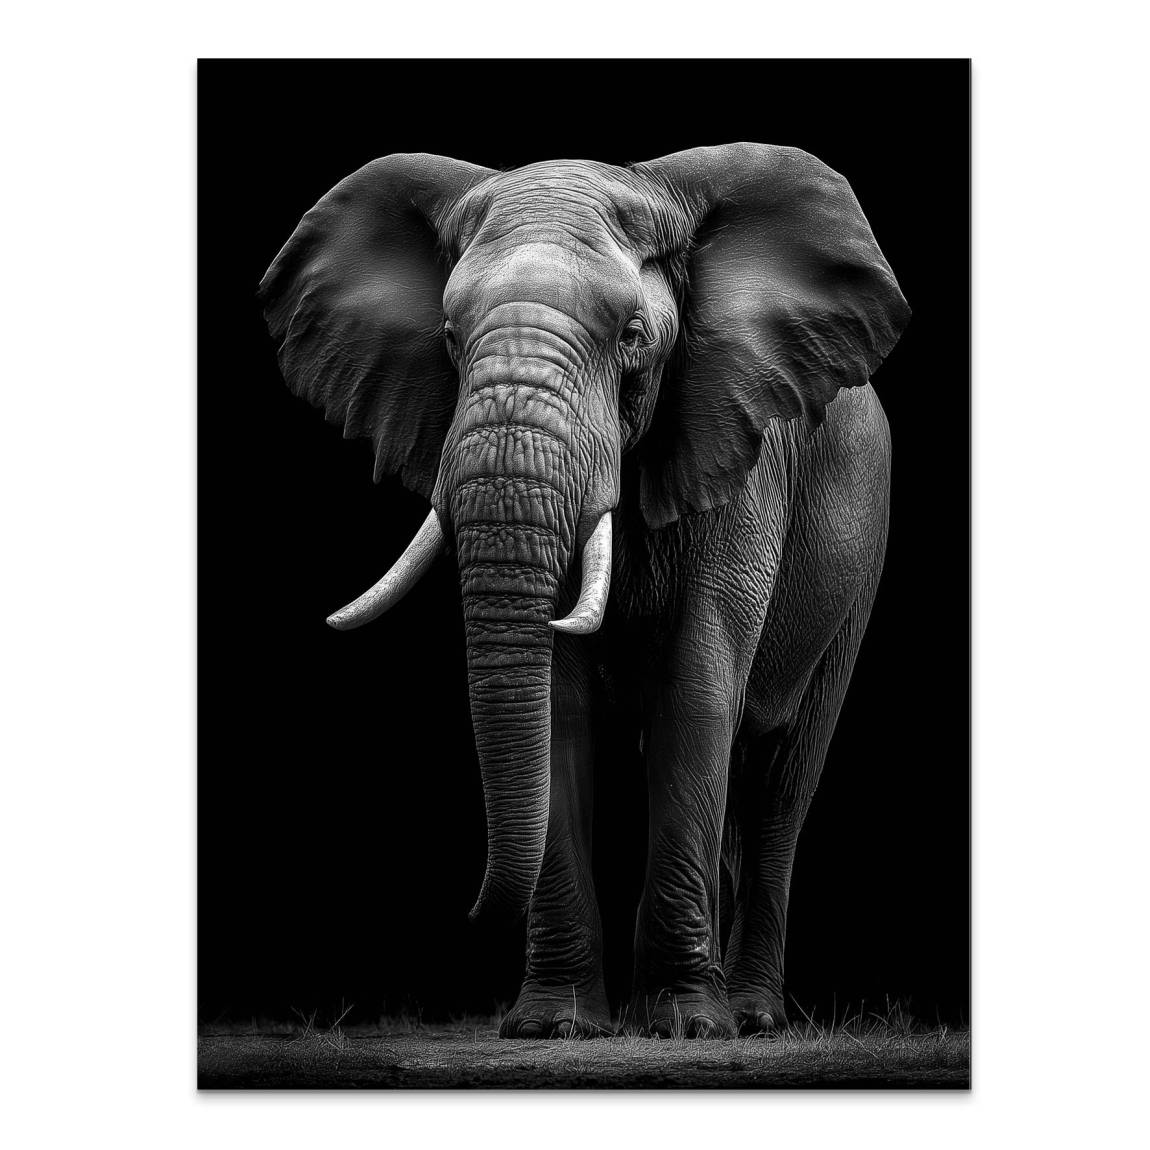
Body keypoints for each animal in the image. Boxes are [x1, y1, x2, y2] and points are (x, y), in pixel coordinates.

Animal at [260, 143, 909, 1039]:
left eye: (633, 337)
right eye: (450, 339)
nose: (464, 912)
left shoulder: (736, 452)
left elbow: (697, 687)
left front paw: (686, 1028)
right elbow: (558, 706)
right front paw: (553, 1025)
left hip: (860, 549)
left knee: (781, 777)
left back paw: (749, 1015)